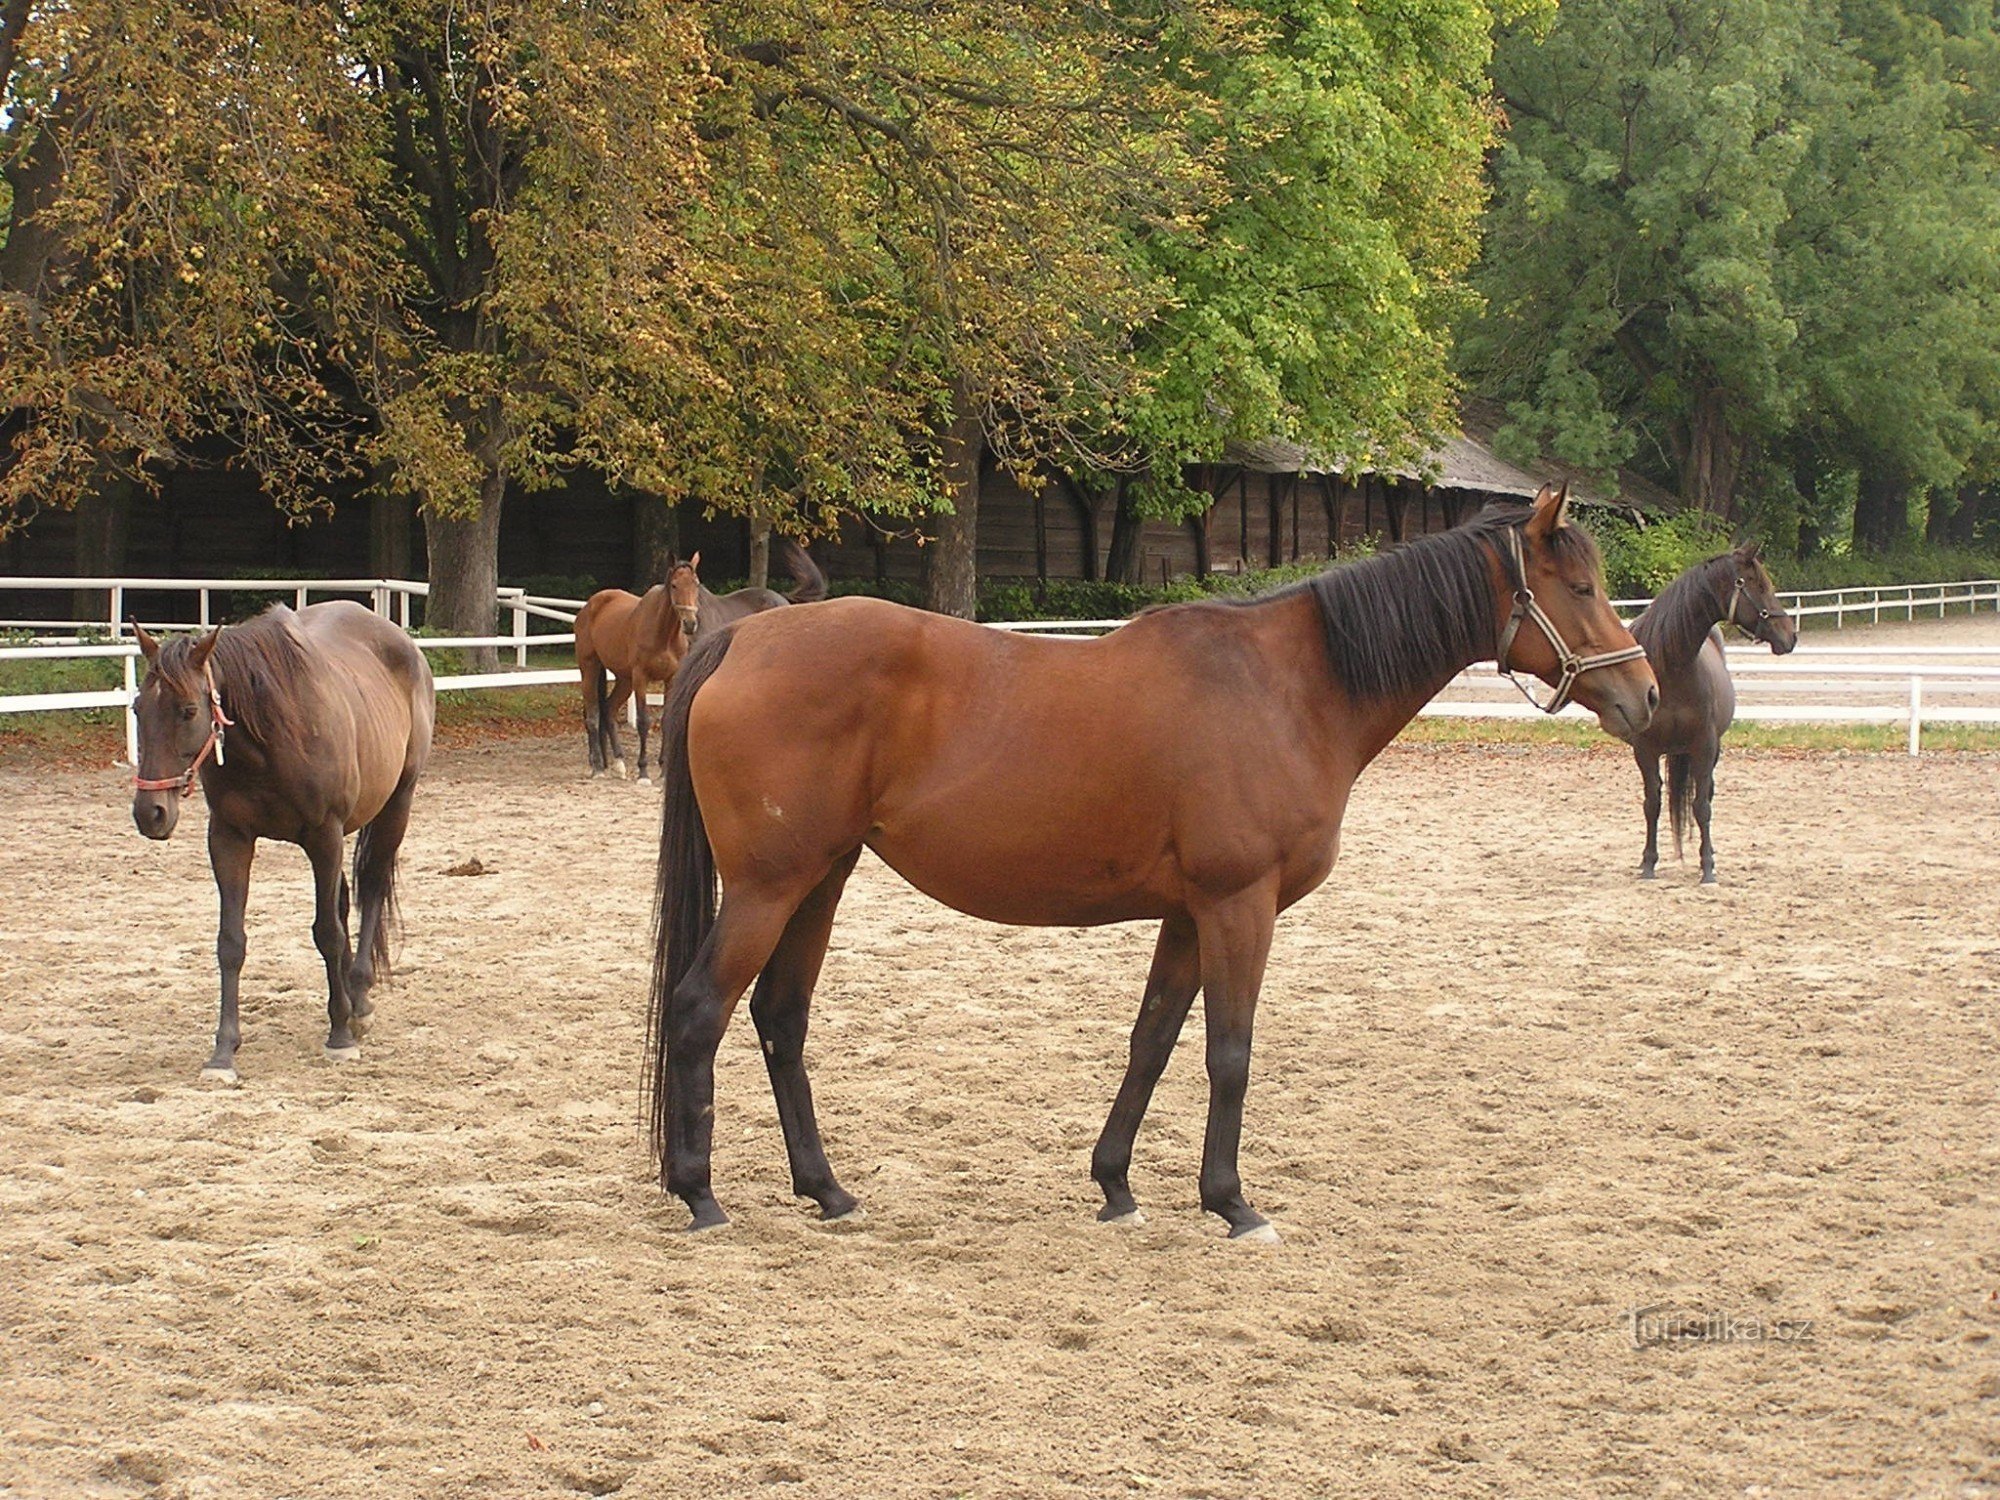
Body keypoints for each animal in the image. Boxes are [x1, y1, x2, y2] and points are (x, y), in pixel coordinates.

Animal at [131, 604, 436, 1088]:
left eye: (188, 710)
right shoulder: (229, 839)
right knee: (344, 898)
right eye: (137, 708)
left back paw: (358, 1000)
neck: (268, 734)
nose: (150, 813)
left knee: (369, 890)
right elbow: (231, 942)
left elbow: (327, 932)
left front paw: (339, 1036)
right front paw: (223, 1052)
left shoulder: (324, 835)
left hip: (396, 803)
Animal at [572, 580, 688, 780]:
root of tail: (588, 606)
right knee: (592, 714)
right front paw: (644, 772)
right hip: (590, 669)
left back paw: (618, 763)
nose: (690, 622)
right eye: (675, 587)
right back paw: (597, 766)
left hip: (624, 680)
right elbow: (643, 721)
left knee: (608, 709)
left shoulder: (671, 679)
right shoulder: (640, 678)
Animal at [1624, 548, 1800, 888]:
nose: (1790, 636)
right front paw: (1648, 863)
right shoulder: (1645, 750)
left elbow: (1701, 806)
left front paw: (1707, 868)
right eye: (1759, 586)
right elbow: (1652, 803)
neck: (1673, 670)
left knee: (1707, 795)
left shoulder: (1704, 746)